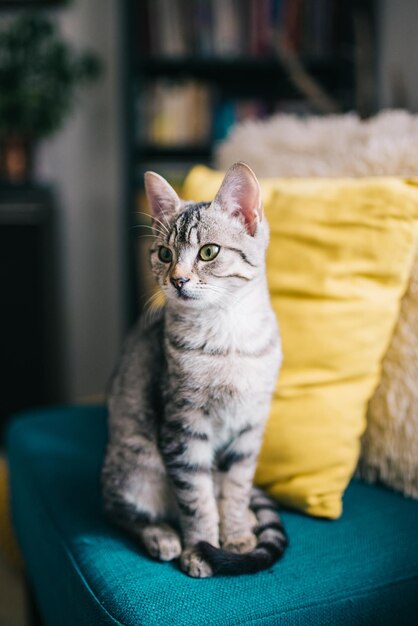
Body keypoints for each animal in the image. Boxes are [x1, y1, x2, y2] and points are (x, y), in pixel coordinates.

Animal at [100, 160, 288, 576]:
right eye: (164, 254)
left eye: (209, 251)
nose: (178, 279)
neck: (227, 334)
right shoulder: (183, 428)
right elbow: (196, 499)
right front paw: (200, 548)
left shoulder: (250, 427)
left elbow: (236, 488)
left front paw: (236, 535)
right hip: (134, 466)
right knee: (121, 512)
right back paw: (162, 535)